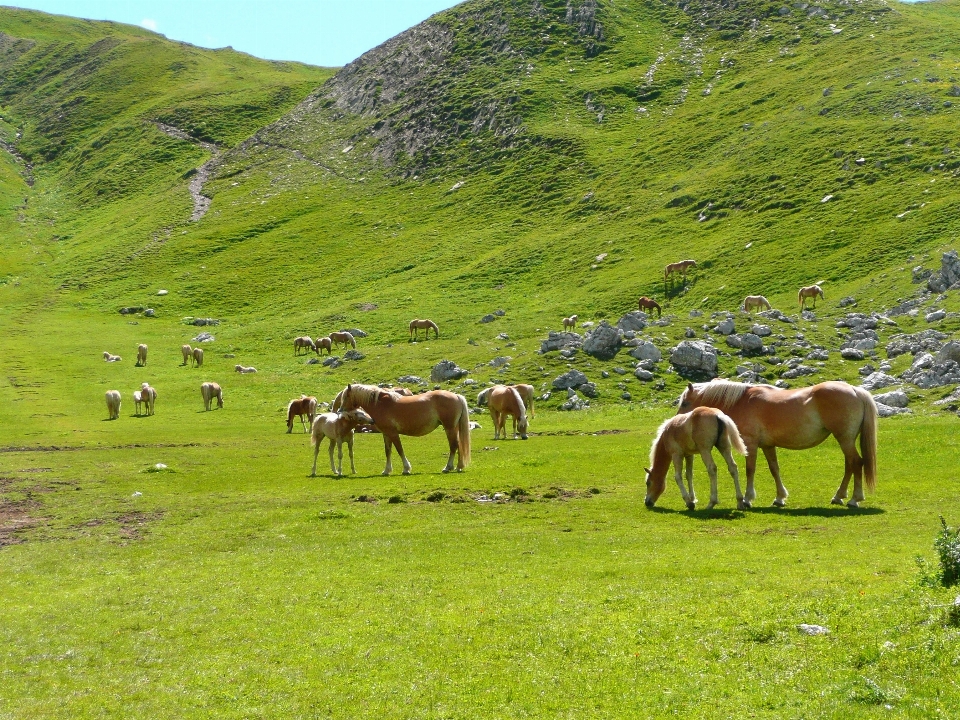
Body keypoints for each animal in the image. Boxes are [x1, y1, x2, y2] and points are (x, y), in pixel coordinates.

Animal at [338, 382, 472, 478]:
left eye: (346, 396)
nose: (340, 410)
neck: (380, 404)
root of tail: (456, 396)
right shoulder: (386, 434)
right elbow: (388, 451)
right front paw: (386, 471)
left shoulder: (393, 433)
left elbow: (399, 450)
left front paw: (406, 469)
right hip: (454, 428)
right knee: (458, 445)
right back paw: (459, 466)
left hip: (449, 428)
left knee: (453, 445)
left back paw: (448, 467)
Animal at [676, 380, 876, 510]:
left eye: (685, 402)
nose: (678, 421)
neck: (743, 401)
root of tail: (854, 390)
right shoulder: (768, 446)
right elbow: (774, 469)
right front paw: (780, 498)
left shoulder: (750, 443)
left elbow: (750, 470)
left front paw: (747, 499)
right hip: (846, 440)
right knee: (850, 465)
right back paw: (839, 496)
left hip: (845, 439)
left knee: (856, 463)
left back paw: (854, 499)